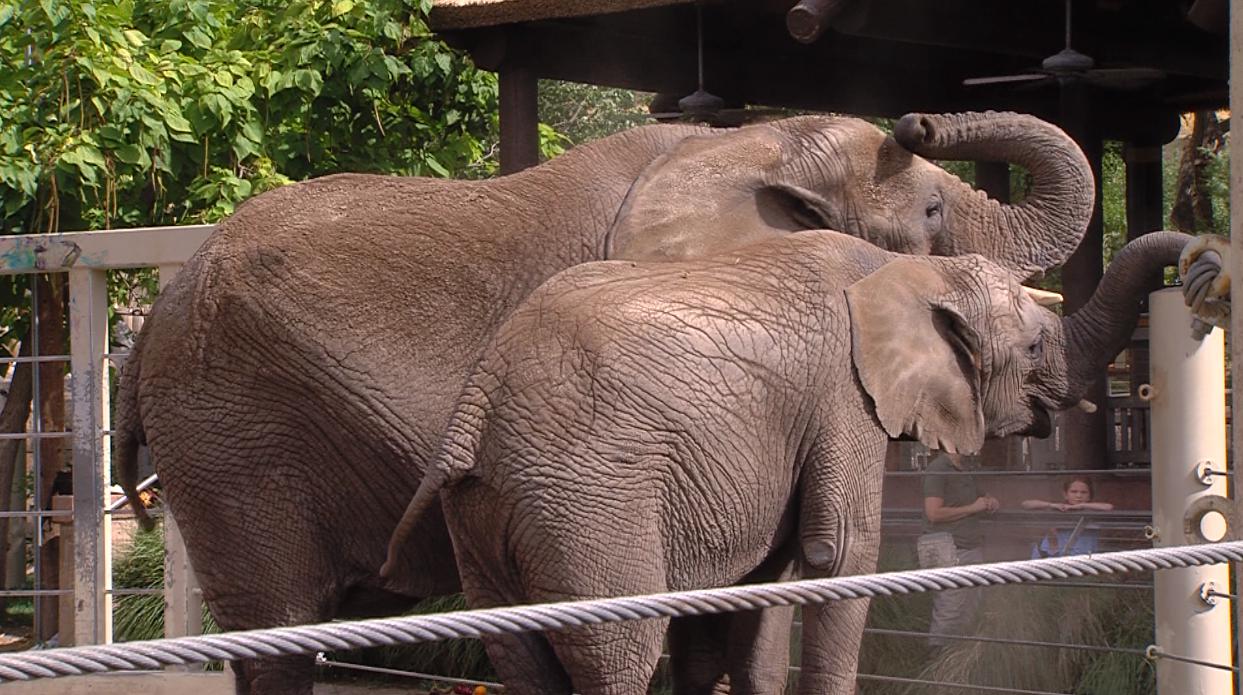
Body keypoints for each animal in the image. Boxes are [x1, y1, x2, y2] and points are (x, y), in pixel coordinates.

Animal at [111, 111, 1093, 691]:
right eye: (930, 211)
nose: (916, 117)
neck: (748, 143)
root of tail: (151, 317)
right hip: (230, 431)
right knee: (276, 629)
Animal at [385, 230, 1203, 695]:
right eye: (1033, 346)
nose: (1198, 261)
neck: (907, 266)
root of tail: (478, 399)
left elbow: (761, 588)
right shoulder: (842, 398)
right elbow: (838, 555)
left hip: (488, 507)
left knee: (519, 653)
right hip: (585, 496)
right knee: (615, 650)